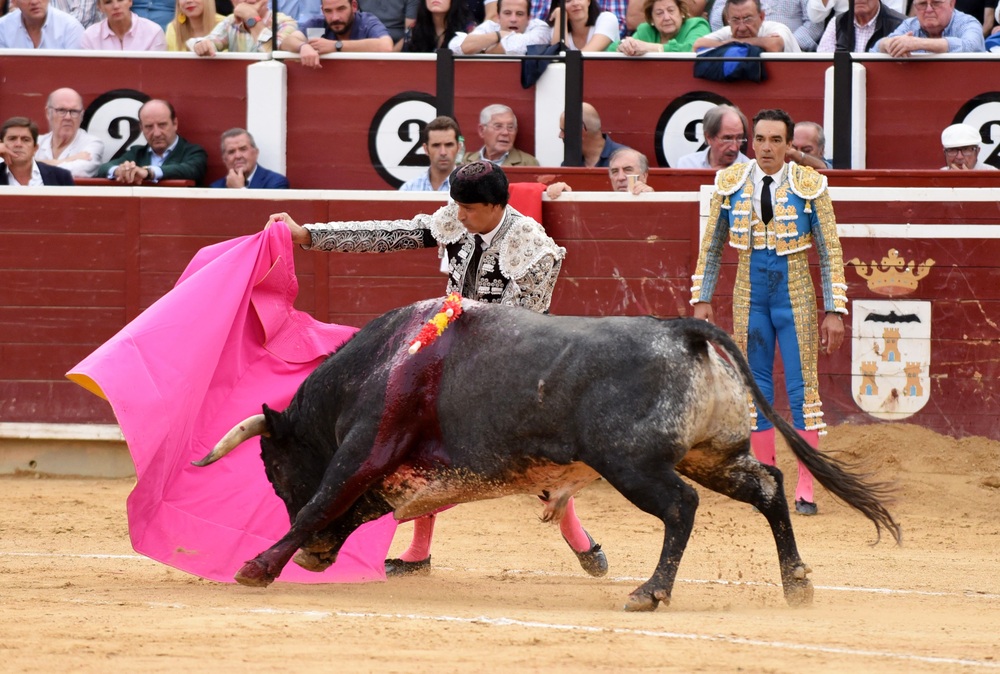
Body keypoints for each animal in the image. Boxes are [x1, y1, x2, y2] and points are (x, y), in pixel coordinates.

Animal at [193, 298, 900, 608]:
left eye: (275, 469)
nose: (314, 559)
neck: (386, 360)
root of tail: (683, 331)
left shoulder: (369, 445)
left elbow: (323, 501)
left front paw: (256, 568)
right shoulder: (394, 469)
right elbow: (352, 505)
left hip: (634, 465)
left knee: (681, 506)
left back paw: (650, 591)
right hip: (711, 454)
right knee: (768, 486)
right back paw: (797, 583)